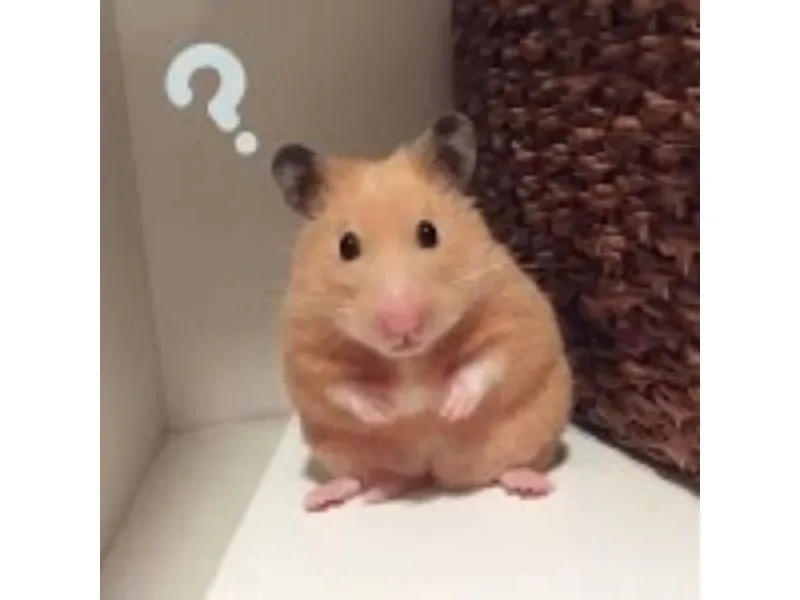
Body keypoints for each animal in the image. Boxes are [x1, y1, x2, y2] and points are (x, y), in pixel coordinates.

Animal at [272, 113, 573, 511]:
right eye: (346, 245)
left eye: (428, 232)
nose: (403, 324)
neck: (409, 358)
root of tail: (433, 470)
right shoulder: (304, 352)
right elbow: (342, 387)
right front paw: (387, 409)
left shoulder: (513, 314)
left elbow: (488, 361)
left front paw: (448, 407)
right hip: (337, 450)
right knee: (368, 478)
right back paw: (334, 496)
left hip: (535, 429)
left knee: (508, 468)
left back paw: (530, 484)